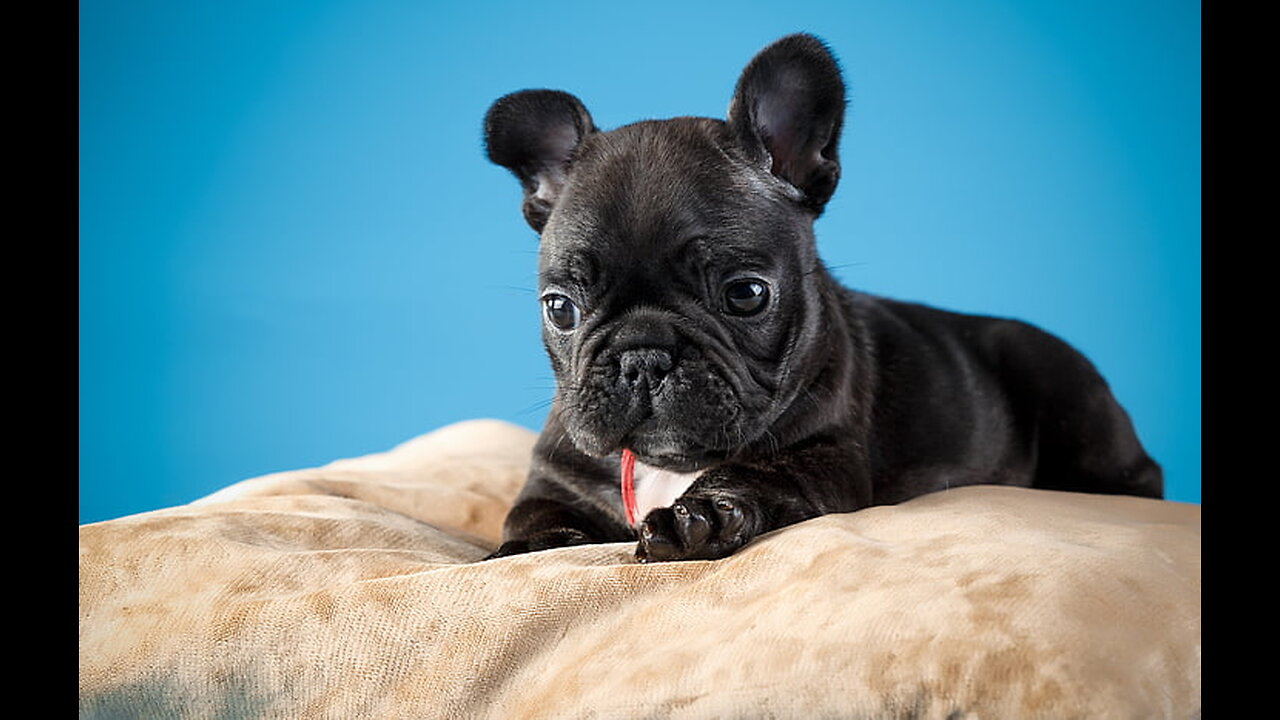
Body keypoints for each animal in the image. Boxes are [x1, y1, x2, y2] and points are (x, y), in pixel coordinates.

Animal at [478, 32, 1162, 561]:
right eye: (560, 308)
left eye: (746, 295)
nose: (641, 355)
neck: (667, 466)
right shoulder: (556, 476)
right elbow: (531, 515)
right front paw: (527, 549)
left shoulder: (823, 458)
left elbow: (748, 471)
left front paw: (699, 519)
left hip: (1064, 387)